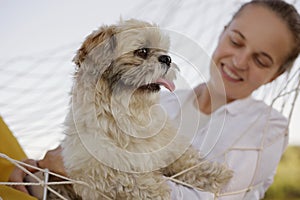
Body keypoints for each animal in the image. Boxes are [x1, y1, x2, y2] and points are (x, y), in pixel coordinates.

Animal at [59, 19, 232, 200]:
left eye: (164, 51)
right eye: (142, 51)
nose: (167, 58)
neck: (131, 113)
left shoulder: (169, 145)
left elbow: (186, 160)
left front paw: (213, 173)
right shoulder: (94, 170)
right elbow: (128, 179)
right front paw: (159, 191)